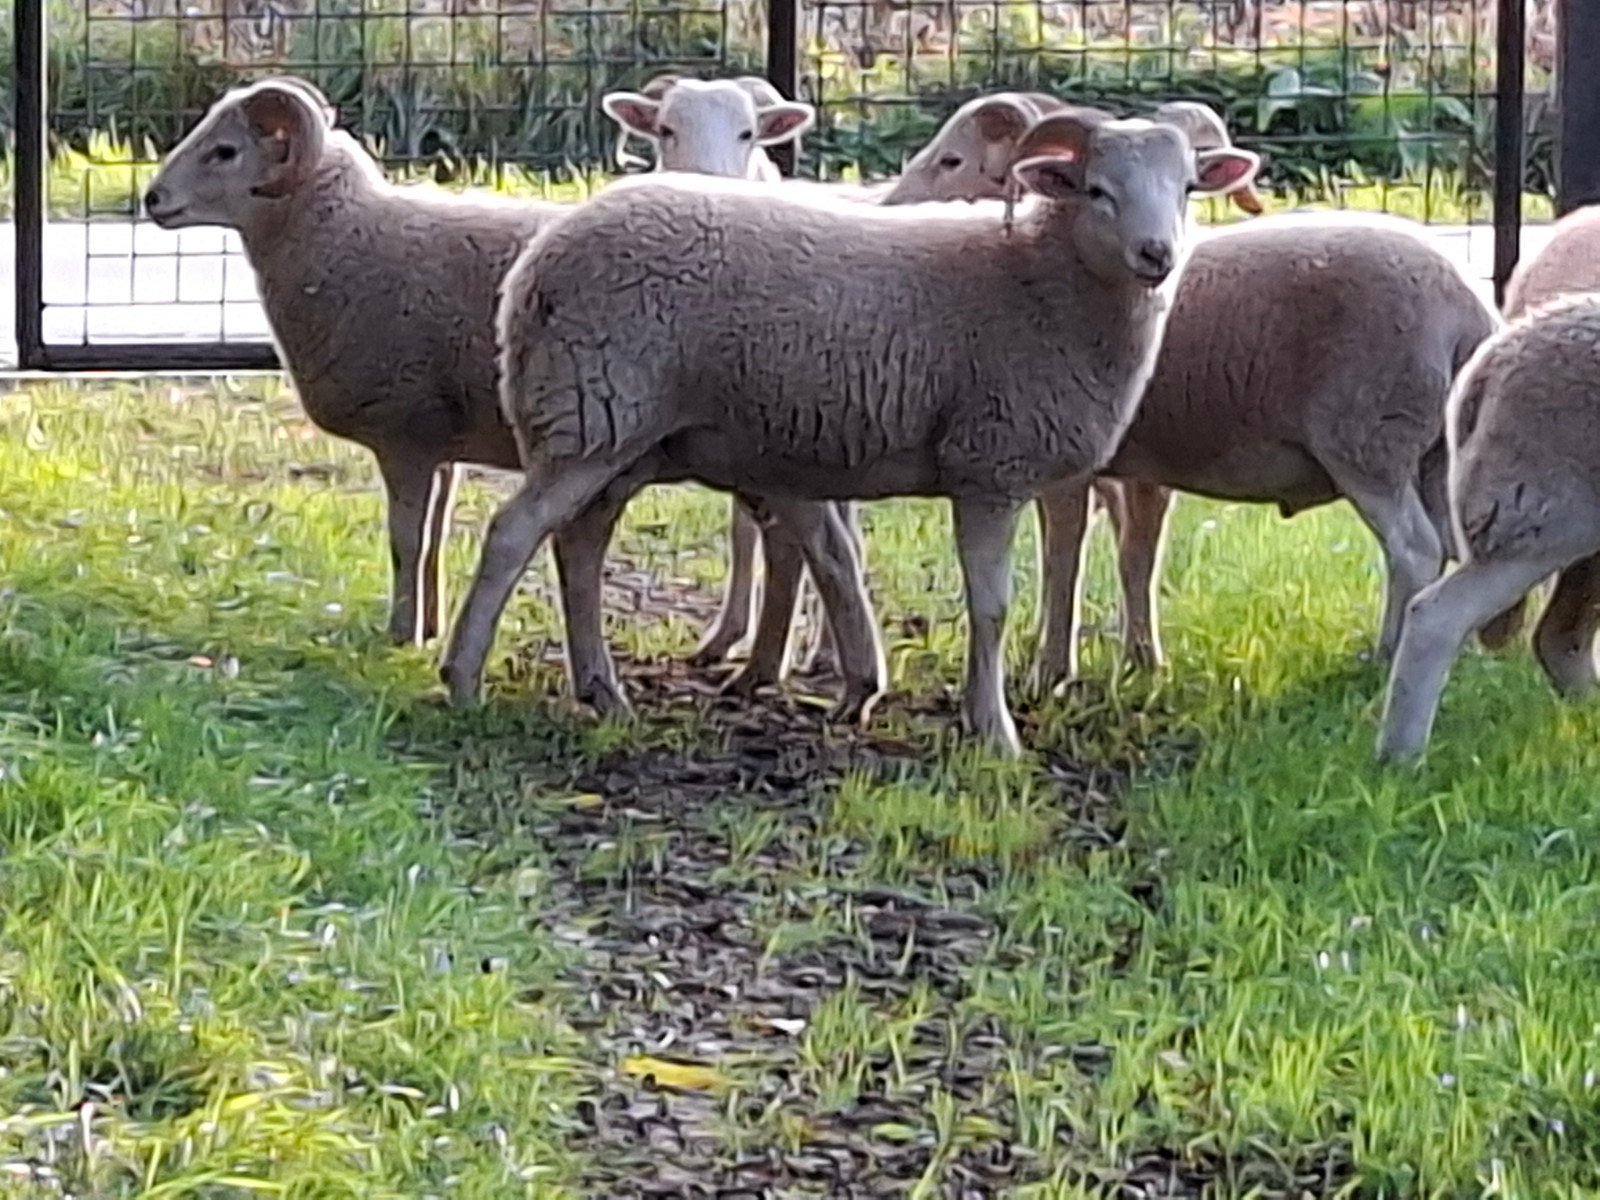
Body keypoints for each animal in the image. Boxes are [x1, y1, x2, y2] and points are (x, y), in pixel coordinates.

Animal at [446, 111, 1260, 755]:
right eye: (1097, 189)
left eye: (1189, 189)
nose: (1158, 255)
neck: (1040, 278)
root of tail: (536, 265)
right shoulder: (987, 465)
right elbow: (991, 605)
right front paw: (994, 732)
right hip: (591, 415)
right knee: (514, 533)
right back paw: (462, 680)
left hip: (627, 439)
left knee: (579, 543)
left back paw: (603, 691)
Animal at [1028, 212, 1498, 693]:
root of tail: (1469, 308)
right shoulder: (1139, 471)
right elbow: (1135, 559)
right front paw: (1141, 665)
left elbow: (1062, 562)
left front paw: (1050, 676)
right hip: (1437, 452)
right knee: (1455, 547)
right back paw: (1458, 655)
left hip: (1369, 437)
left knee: (1414, 548)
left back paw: (1386, 656)